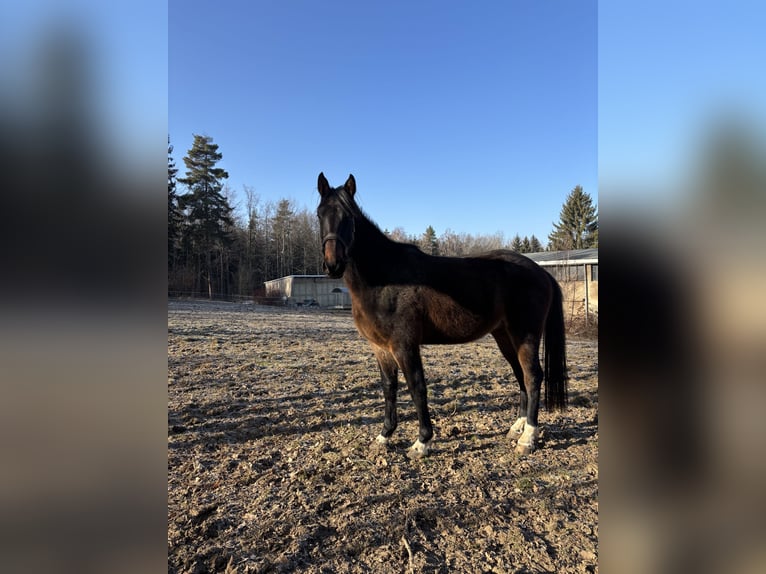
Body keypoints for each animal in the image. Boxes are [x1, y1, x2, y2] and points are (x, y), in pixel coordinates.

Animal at [316, 172, 568, 457]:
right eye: (319, 214)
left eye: (348, 217)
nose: (333, 265)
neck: (384, 278)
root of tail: (541, 272)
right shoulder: (380, 347)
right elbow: (389, 388)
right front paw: (384, 436)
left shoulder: (404, 345)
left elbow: (417, 388)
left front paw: (422, 442)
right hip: (504, 336)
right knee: (520, 374)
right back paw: (517, 428)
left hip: (525, 334)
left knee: (533, 376)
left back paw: (528, 438)